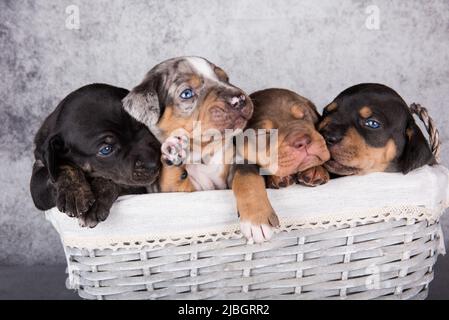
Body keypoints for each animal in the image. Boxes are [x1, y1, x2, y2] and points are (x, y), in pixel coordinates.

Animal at [29, 84, 160, 226]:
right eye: (106, 149)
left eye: (142, 125)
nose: (154, 164)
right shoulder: (38, 181)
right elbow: (62, 166)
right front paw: (74, 193)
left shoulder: (138, 188)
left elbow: (109, 179)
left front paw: (96, 200)